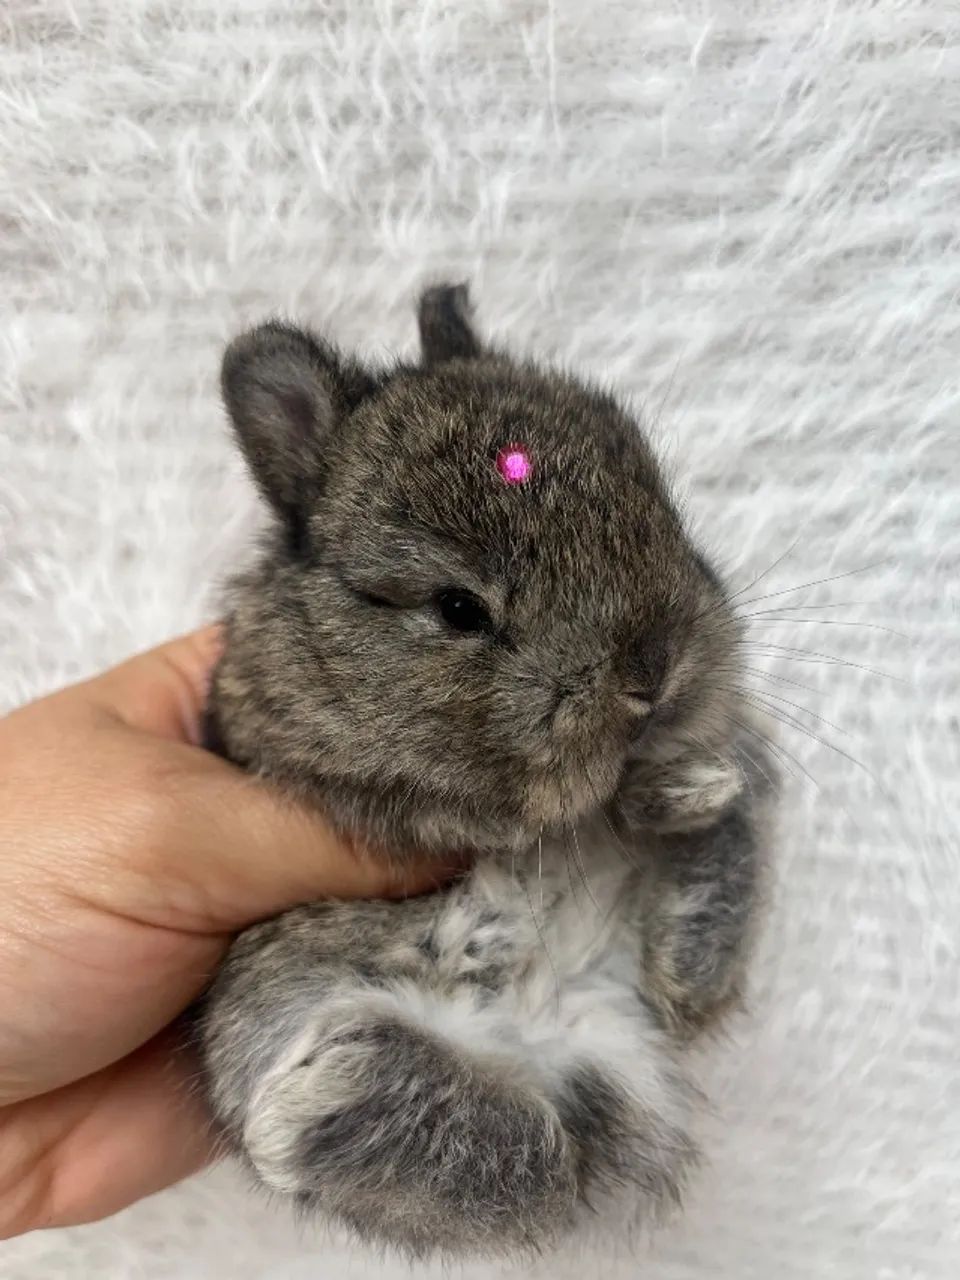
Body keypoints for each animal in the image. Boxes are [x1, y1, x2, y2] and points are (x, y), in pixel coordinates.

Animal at [196, 284, 775, 1260]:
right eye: (458, 608)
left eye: (663, 510)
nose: (655, 672)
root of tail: (545, 1014)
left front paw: (677, 774)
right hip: (271, 1004)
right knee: (509, 1145)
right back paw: (309, 1102)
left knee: (658, 1014)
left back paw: (692, 804)